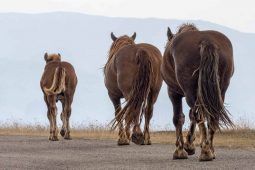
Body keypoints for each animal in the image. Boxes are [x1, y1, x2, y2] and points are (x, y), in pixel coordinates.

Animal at [162, 23, 234, 161]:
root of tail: (206, 40)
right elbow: (192, 116)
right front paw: (190, 145)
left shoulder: (173, 92)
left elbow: (179, 118)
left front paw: (181, 150)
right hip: (220, 91)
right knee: (212, 116)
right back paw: (209, 150)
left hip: (190, 92)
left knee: (199, 115)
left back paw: (205, 152)